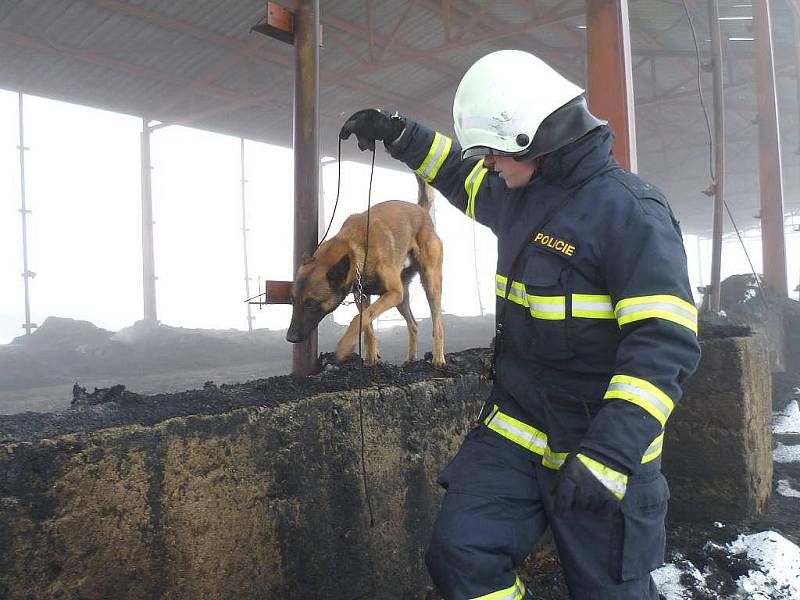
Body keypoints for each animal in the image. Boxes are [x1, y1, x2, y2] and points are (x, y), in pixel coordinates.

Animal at [288, 176, 446, 368]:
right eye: (292, 300)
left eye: (311, 304)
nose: (290, 337)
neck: (352, 247)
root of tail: (421, 210)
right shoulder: (362, 295)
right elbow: (367, 324)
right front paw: (371, 359)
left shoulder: (393, 293)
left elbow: (359, 319)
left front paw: (343, 348)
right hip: (402, 298)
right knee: (414, 325)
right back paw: (410, 360)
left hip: (428, 285)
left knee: (437, 324)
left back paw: (438, 358)